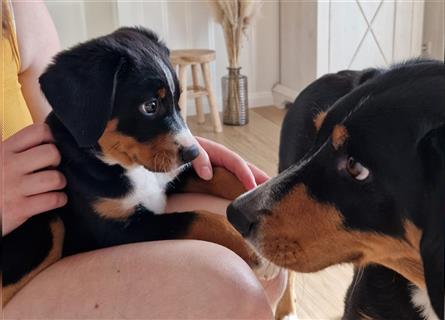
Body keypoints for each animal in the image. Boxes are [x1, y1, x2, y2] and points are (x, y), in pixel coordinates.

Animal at [2, 26, 270, 304]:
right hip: (49, 223)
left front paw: (259, 193)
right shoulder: (118, 229)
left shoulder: (171, 175)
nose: (194, 152)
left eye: (177, 100)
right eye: (150, 106)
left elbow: (220, 175)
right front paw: (246, 247)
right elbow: (197, 217)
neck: (126, 166)